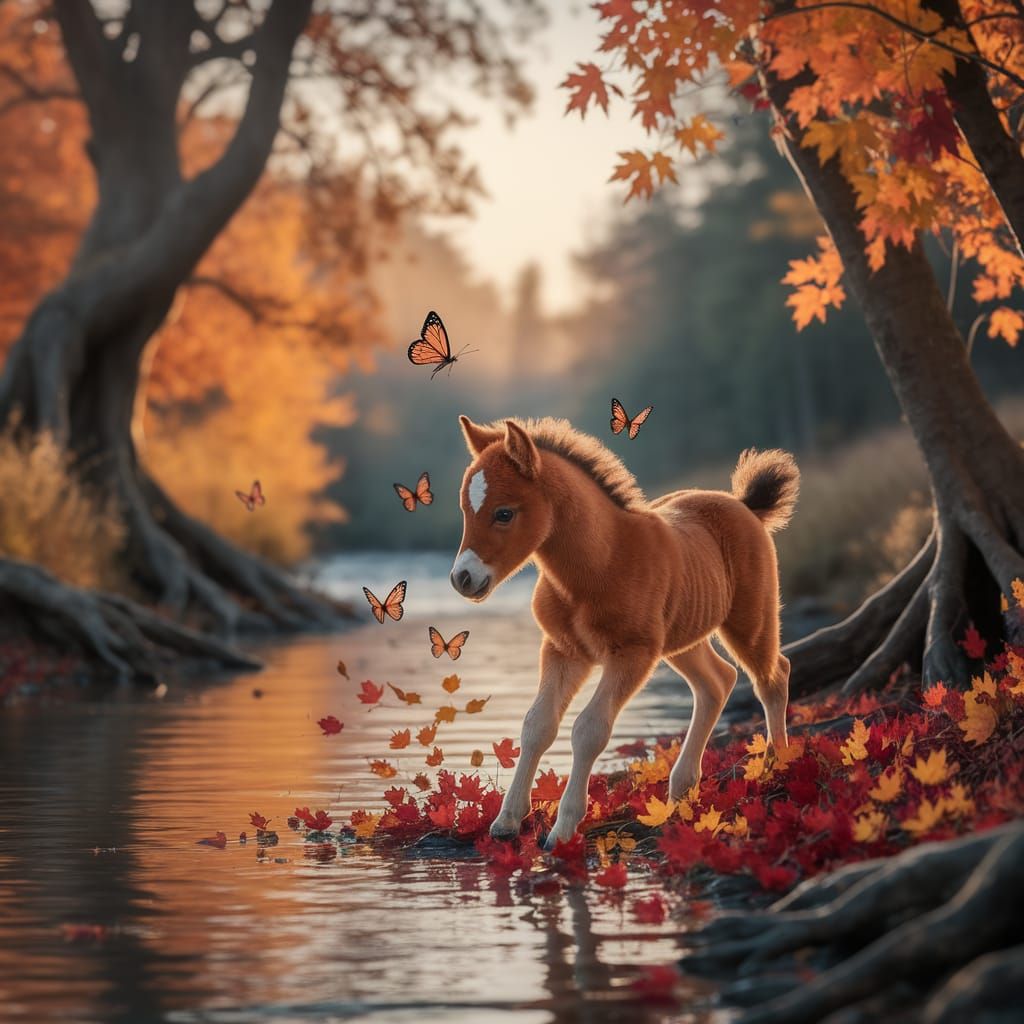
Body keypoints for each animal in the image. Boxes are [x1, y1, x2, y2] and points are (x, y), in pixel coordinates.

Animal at [450, 415, 800, 848]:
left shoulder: (631, 653)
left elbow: (589, 730)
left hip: (750, 619)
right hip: (682, 638)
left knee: (773, 676)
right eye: (465, 509)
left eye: (503, 513)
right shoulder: (564, 650)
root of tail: (744, 504)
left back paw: (775, 765)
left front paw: (562, 831)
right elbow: (536, 725)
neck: (601, 562)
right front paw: (506, 822)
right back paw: (682, 788)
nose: (462, 578)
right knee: (718, 682)